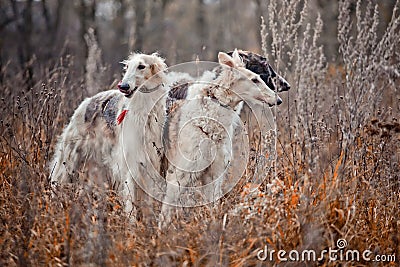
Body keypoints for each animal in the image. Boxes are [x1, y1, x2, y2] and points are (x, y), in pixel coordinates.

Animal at [158, 49, 282, 226]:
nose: (278, 100)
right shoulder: (178, 176)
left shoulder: (214, 176)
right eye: (254, 79)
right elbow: (165, 215)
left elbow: (212, 209)